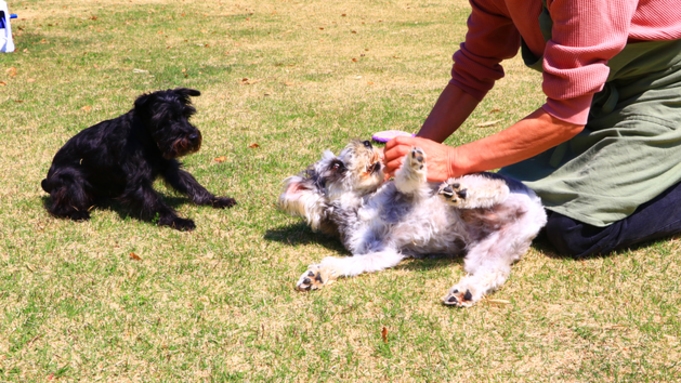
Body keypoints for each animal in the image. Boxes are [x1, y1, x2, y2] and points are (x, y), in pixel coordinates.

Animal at [41, 88, 236, 231]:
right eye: (166, 119)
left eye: (186, 115)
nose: (194, 136)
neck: (148, 139)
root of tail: (48, 181)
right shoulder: (137, 183)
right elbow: (157, 204)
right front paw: (178, 221)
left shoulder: (171, 169)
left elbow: (193, 186)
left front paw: (216, 200)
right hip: (73, 182)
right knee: (57, 207)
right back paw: (77, 214)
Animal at [278, 140, 544, 308]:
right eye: (336, 165)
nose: (367, 142)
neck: (361, 205)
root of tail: (538, 213)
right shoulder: (381, 252)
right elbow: (348, 264)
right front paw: (316, 275)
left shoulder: (410, 193)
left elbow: (405, 181)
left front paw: (413, 163)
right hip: (490, 251)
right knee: (492, 273)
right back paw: (465, 292)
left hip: (500, 194)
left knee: (496, 187)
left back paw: (461, 191)